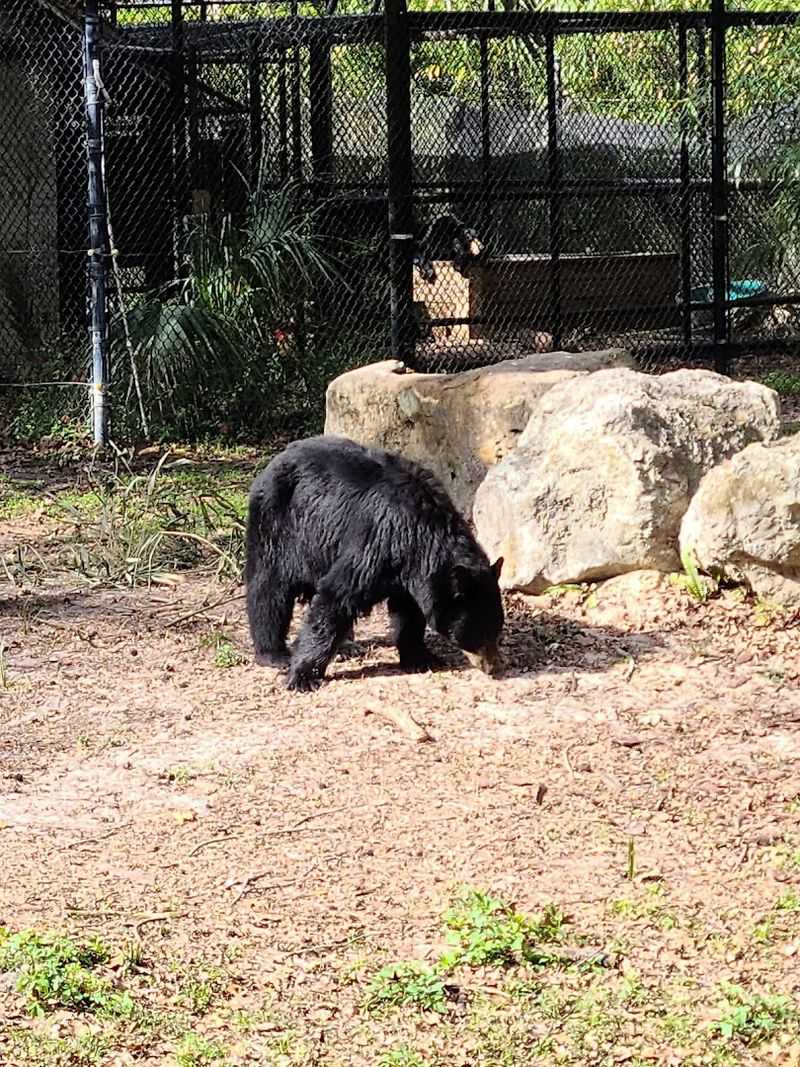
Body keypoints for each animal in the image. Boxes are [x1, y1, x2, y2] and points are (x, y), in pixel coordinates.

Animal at [245, 435, 504, 691]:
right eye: (478, 634)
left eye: (497, 629)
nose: (493, 667)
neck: (424, 534)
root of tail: (277, 457)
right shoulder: (379, 541)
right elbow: (337, 597)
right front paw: (302, 677)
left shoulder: (411, 571)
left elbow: (408, 612)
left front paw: (420, 658)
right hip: (276, 522)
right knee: (269, 587)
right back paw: (273, 653)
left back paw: (347, 647)